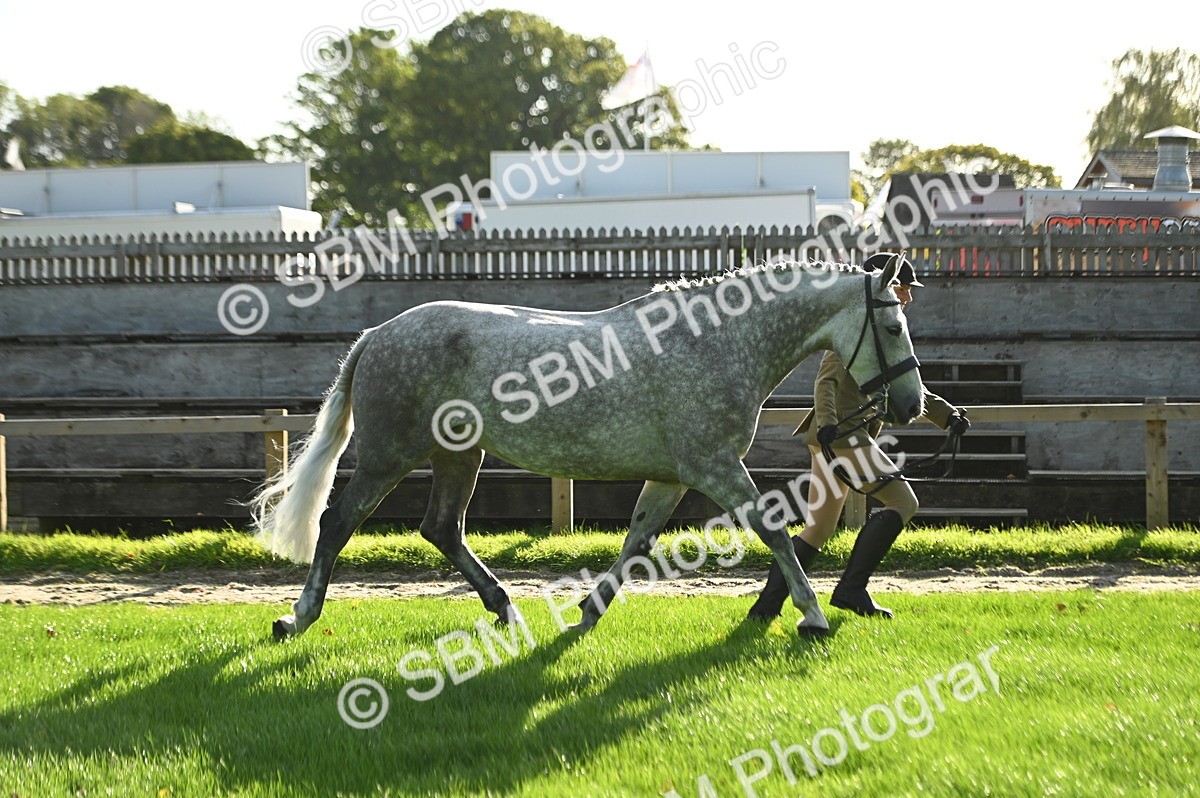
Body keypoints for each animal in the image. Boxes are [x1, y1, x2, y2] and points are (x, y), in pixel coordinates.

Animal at [253, 254, 925, 640]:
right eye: (894, 326)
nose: (912, 404)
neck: (717, 342)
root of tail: (376, 334)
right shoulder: (714, 466)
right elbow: (775, 532)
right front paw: (813, 617)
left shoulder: (673, 475)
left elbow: (637, 540)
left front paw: (588, 609)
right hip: (389, 455)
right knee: (338, 522)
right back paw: (296, 617)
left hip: (459, 454)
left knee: (441, 527)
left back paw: (507, 610)